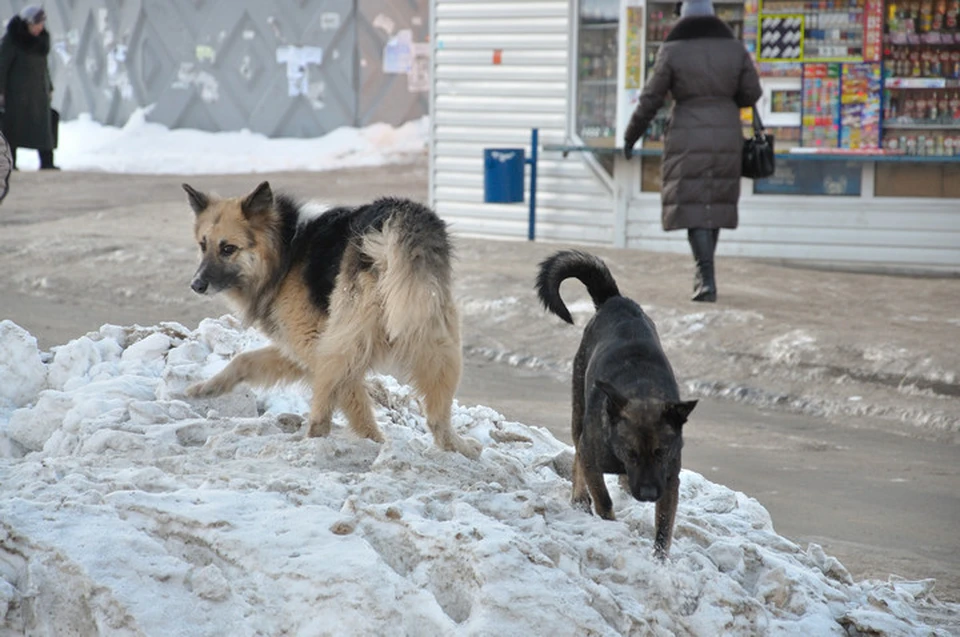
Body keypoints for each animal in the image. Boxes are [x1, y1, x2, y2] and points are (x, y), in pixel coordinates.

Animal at [532, 248, 696, 556]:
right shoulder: (591, 455)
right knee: (576, 453)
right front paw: (609, 525)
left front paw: (660, 560)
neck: (641, 389)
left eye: (661, 452)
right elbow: (603, 499)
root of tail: (615, 300)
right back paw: (580, 500)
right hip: (578, 409)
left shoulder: (669, 478)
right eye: (630, 453)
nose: (647, 494)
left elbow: (664, 525)